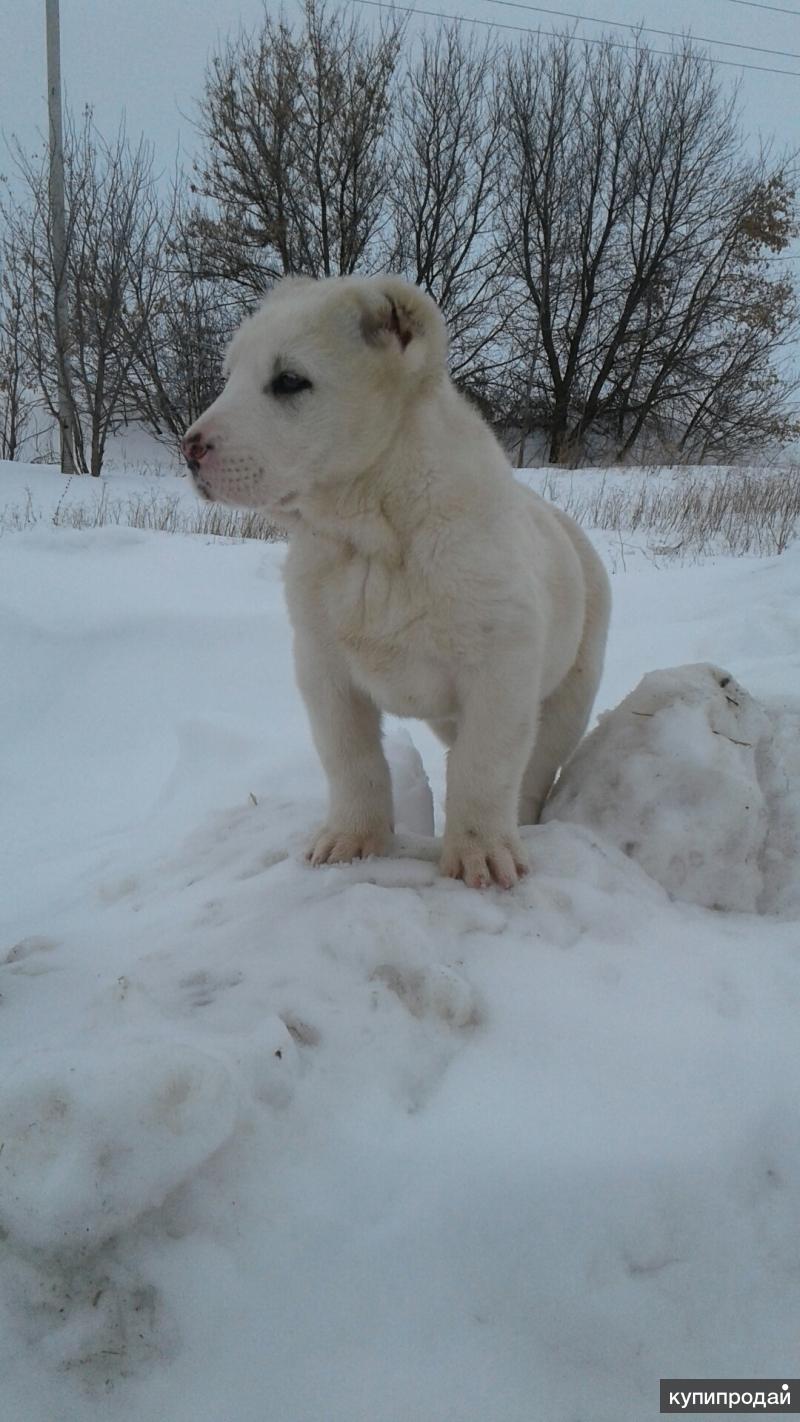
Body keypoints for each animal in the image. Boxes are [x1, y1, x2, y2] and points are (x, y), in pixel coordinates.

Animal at [184, 271, 611, 881]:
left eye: (289, 380)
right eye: (229, 376)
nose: (190, 448)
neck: (374, 537)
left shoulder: (501, 668)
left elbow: (487, 765)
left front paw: (482, 856)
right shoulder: (323, 667)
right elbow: (351, 758)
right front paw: (351, 841)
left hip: (572, 685)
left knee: (534, 766)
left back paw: (523, 826)